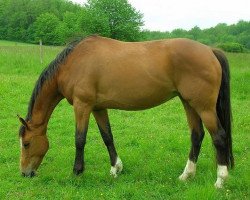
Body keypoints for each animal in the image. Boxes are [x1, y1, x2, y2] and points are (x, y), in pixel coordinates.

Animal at [18, 35, 233, 188]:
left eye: (26, 143)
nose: (25, 173)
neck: (73, 63)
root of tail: (210, 50)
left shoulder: (82, 105)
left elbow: (79, 139)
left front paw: (77, 172)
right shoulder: (98, 108)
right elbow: (107, 137)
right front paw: (116, 168)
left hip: (203, 107)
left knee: (219, 137)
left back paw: (220, 180)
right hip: (188, 103)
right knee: (197, 135)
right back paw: (186, 175)